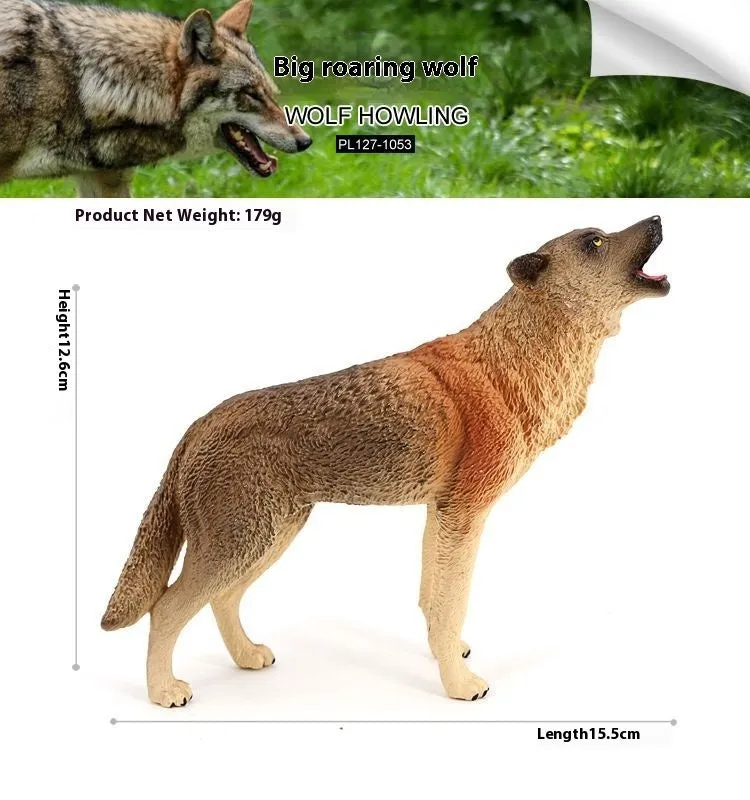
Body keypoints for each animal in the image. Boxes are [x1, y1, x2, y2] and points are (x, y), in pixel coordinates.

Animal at [102, 217, 669, 707]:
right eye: (594, 242)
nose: (658, 218)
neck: (511, 363)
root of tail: (196, 425)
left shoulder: (441, 513)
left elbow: (433, 601)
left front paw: (450, 653)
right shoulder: (465, 514)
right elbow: (449, 604)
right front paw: (459, 683)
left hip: (270, 537)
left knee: (221, 600)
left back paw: (246, 657)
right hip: (243, 543)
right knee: (166, 608)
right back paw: (163, 692)